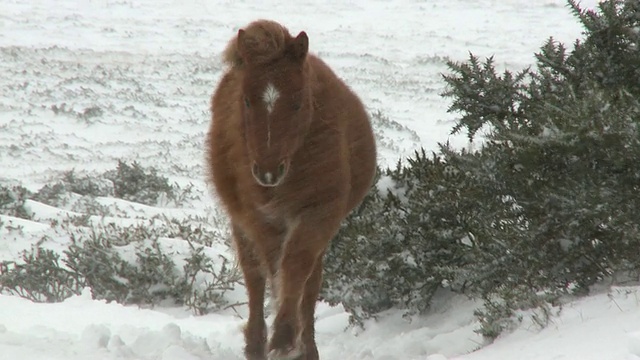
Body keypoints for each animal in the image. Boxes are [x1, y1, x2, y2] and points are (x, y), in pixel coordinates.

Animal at [206, 20, 376, 360]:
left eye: (297, 102)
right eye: (246, 100)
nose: (268, 172)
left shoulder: (319, 214)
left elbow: (297, 268)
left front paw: (288, 338)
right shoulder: (261, 220)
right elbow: (276, 272)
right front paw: (282, 338)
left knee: (307, 282)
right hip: (242, 225)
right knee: (255, 278)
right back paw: (256, 345)